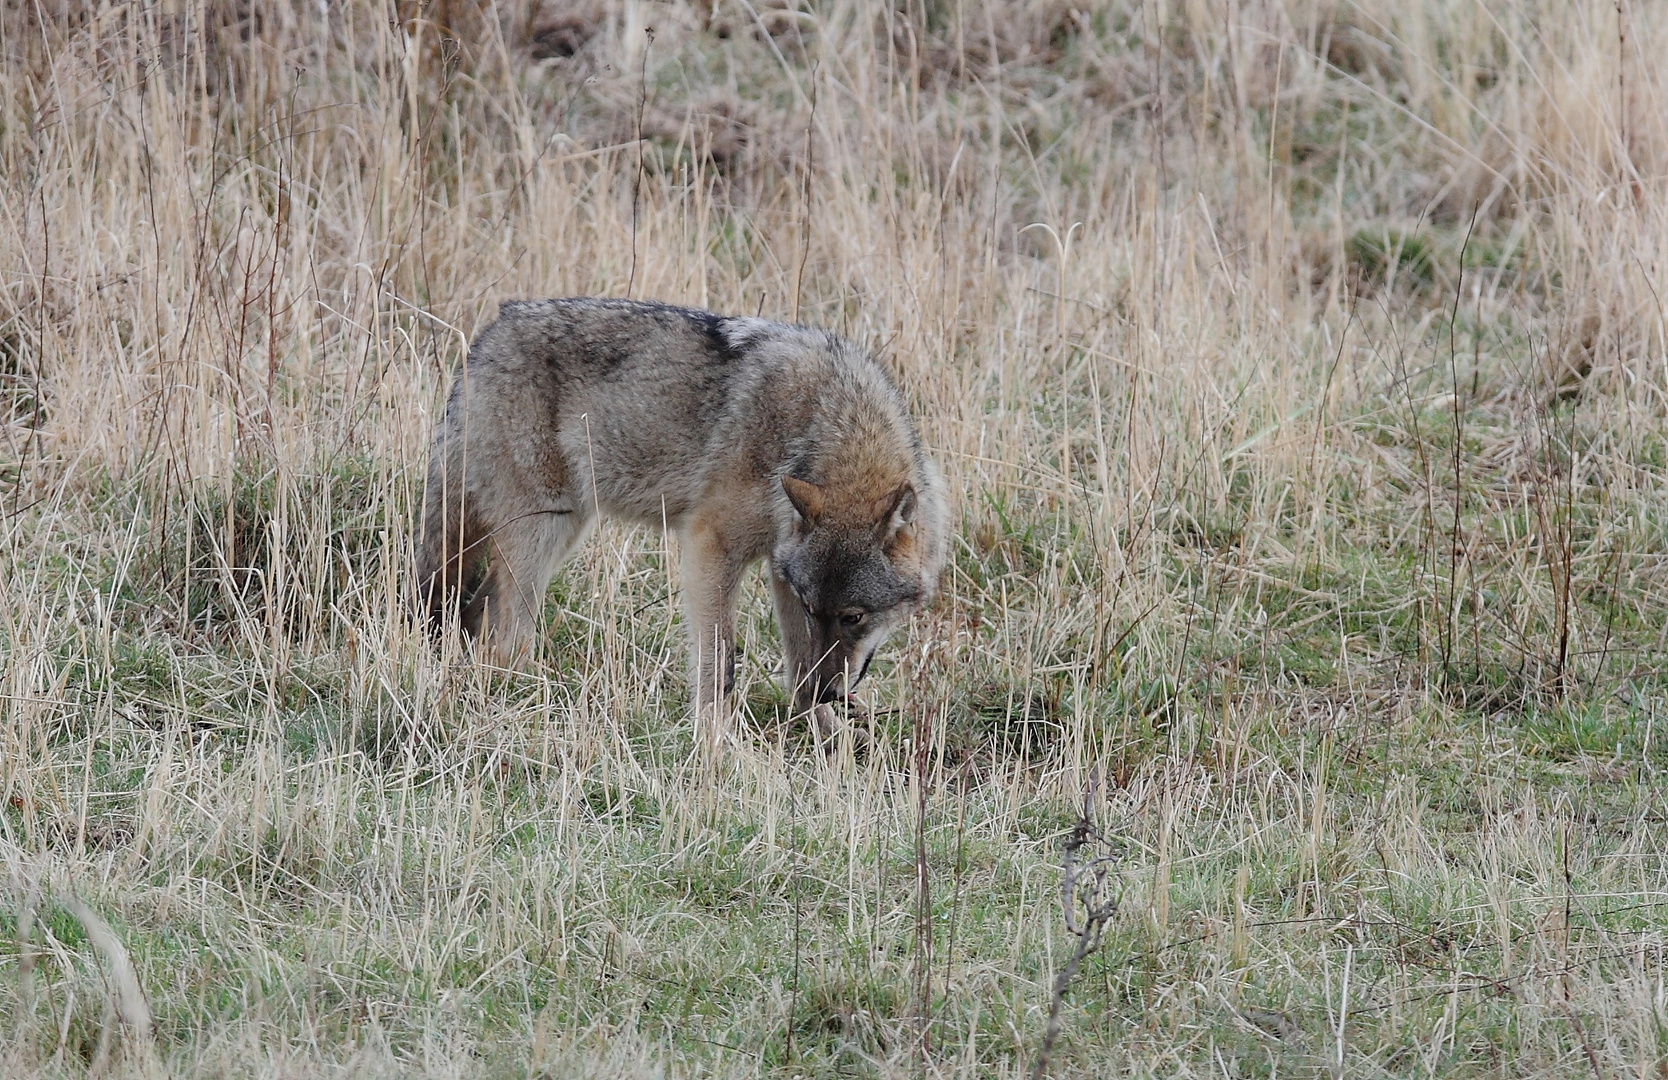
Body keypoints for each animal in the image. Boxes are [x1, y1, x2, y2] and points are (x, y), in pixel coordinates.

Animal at [411, 295, 947, 737]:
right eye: (826, 612)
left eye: (852, 616)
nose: (829, 693)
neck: (821, 423)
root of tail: (485, 337)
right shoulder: (711, 544)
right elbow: (720, 660)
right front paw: (715, 743)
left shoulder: (781, 570)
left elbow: (797, 664)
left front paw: (831, 738)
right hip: (540, 535)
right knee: (505, 635)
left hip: (562, 531)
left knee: (477, 612)